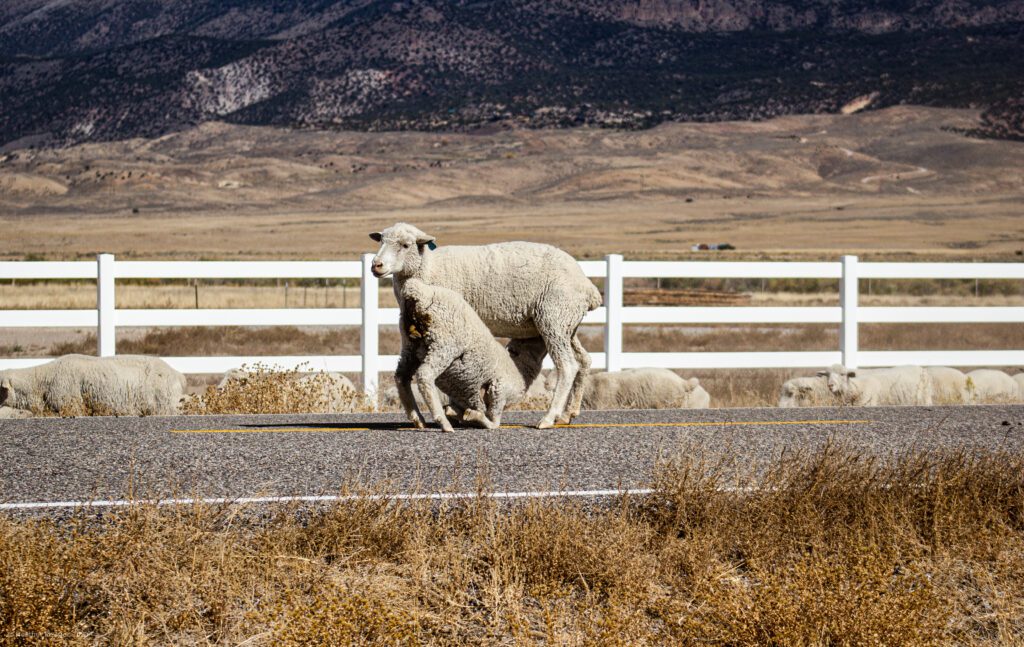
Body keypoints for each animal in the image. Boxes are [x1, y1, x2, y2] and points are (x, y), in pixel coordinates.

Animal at [398, 278, 549, 431]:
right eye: (527, 341)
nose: (541, 335)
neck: (519, 369)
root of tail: (420, 292)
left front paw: (456, 412)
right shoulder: (499, 390)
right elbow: (494, 423)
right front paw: (472, 415)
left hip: (410, 346)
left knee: (401, 378)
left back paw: (417, 418)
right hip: (443, 345)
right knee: (424, 375)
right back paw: (443, 422)